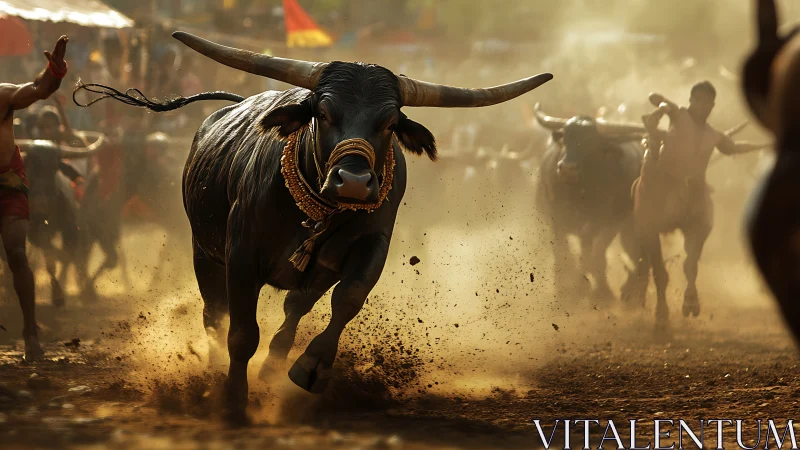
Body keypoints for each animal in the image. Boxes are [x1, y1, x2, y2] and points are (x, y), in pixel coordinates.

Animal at [75, 31, 552, 422]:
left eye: (389, 122)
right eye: (323, 113)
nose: (355, 182)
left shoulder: (371, 245)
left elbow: (346, 300)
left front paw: (309, 368)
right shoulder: (239, 254)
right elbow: (240, 332)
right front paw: (233, 399)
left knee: (292, 311)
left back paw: (273, 367)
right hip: (202, 251)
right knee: (214, 315)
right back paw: (212, 374)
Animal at [533, 104, 647, 304]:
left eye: (591, 142)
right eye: (567, 137)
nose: (567, 168)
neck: (577, 193)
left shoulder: (606, 222)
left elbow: (594, 252)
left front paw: (595, 291)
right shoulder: (556, 219)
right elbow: (561, 251)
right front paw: (563, 289)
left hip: (625, 225)